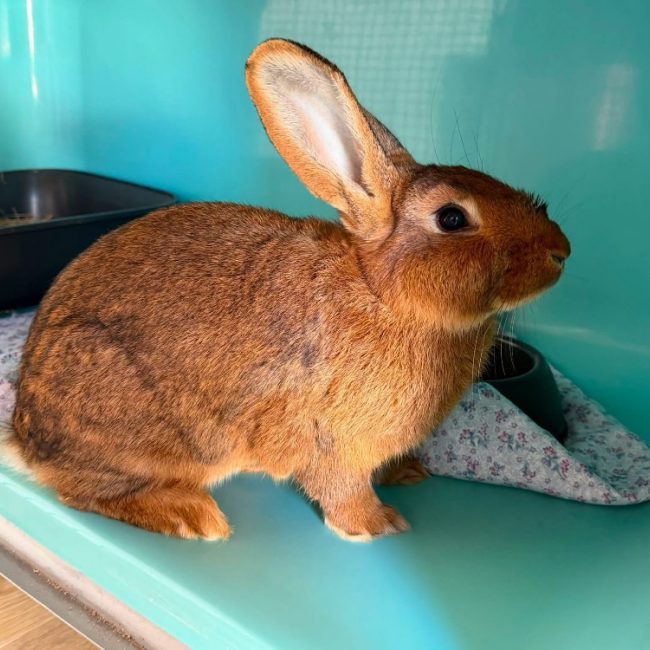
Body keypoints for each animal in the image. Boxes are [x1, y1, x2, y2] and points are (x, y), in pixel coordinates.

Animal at [4, 39, 570, 542]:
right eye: (451, 218)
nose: (561, 250)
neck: (382, 295)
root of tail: (25, 437)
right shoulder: (332, 440)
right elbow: (342, 488)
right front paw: (376, 526)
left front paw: (407, 473)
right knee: (83, 491)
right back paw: (191, 516)